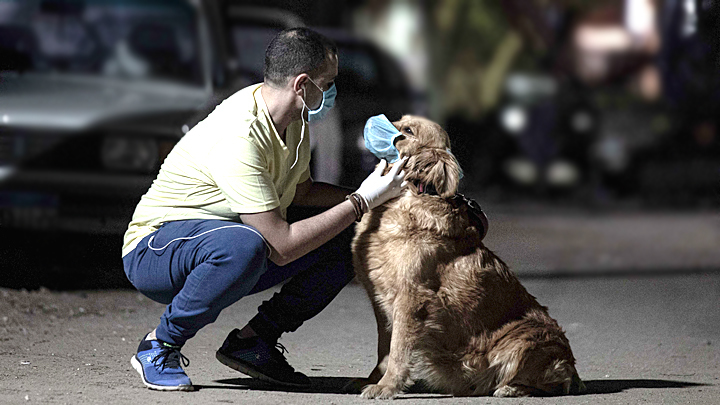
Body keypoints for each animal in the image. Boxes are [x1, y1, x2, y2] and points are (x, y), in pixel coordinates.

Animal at [350, 114, 584, 398]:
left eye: (407, 130)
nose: (367, 123)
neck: (406, 197)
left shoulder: (411, 298)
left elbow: (397, 350)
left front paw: (387, 385)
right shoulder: (380, 302)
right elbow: (384, 348)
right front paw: (374, 379)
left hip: (526, 337)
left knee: (552, 383)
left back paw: (511, 388)